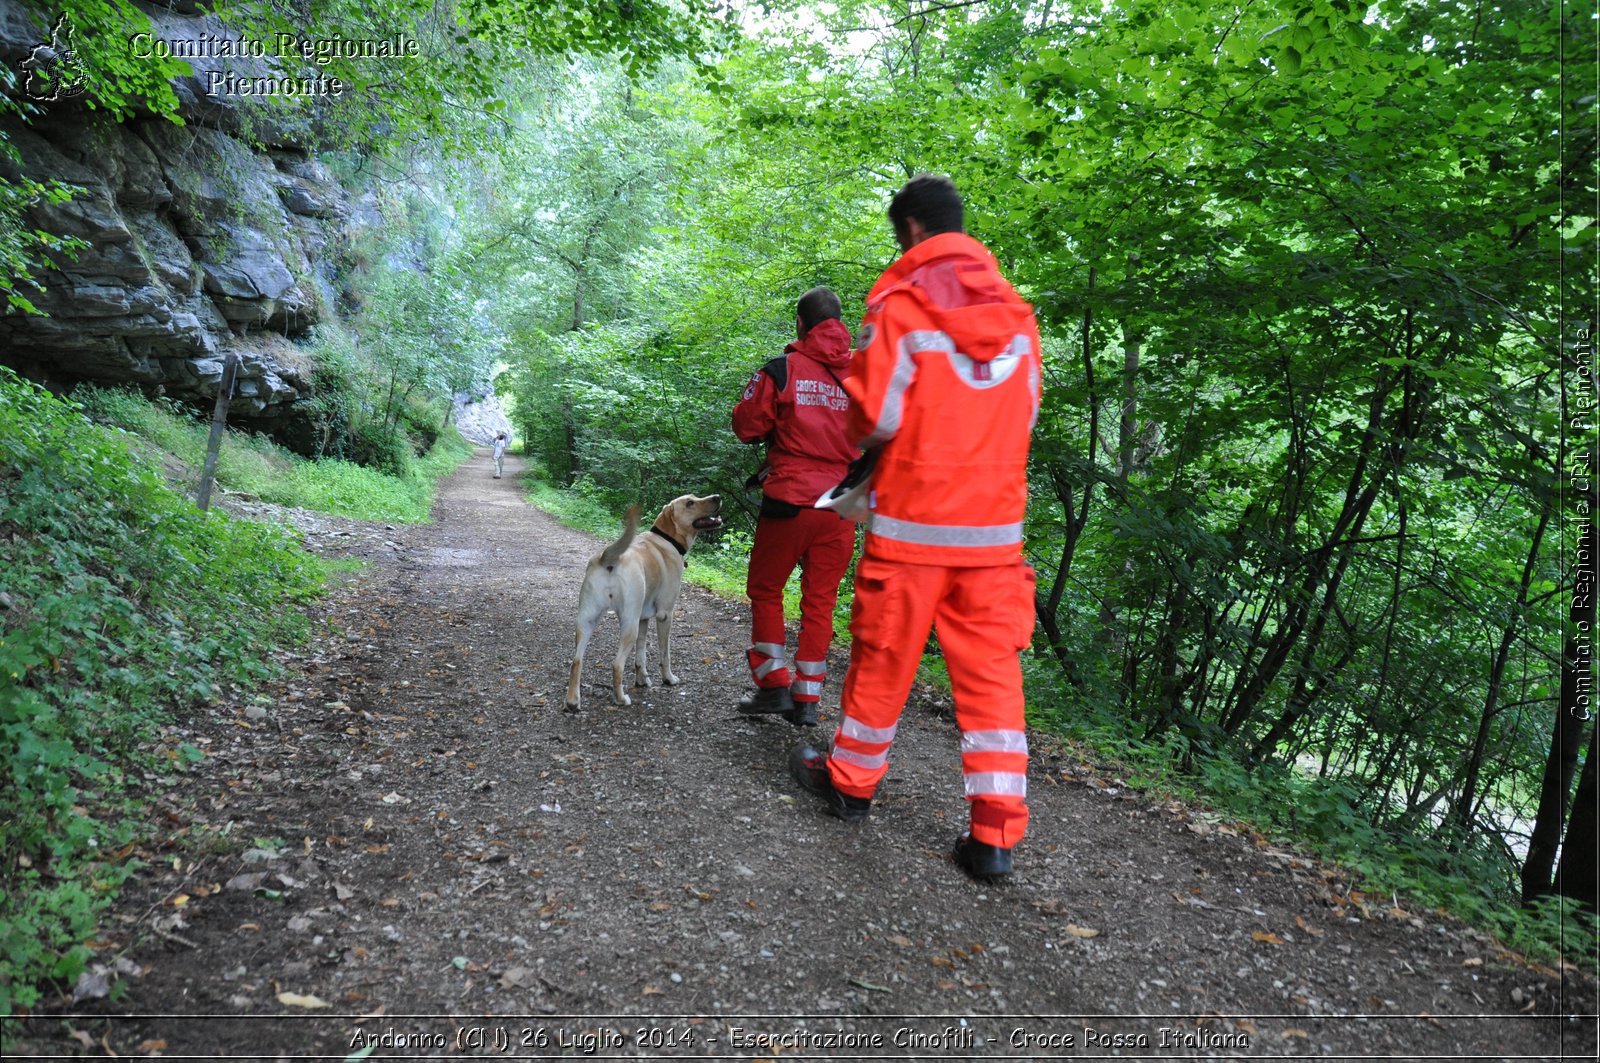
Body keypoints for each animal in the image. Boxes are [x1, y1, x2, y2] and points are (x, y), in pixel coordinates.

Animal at [566, 493, 723, 714]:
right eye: (690, 503)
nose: (717, 497)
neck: (666, 539)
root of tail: (609, 557)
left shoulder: (643, 619)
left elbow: (640, 656)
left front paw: (642, 680)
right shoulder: (665, 615)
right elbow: (664, 654)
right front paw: (668, 679)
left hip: (587, 621)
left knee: (576, 661)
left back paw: (572, 702)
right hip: (628, 625)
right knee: (616, 664)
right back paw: (621, 698)